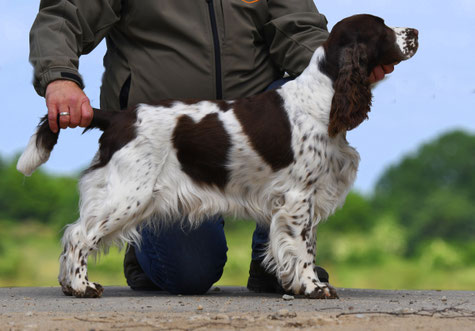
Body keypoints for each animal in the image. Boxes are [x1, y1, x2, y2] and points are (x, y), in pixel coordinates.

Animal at [15, 14, 416, 300]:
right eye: (381, 28)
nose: (414, 32)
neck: (324, 97)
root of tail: (117, 117)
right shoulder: (298, 196)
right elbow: (302, 247)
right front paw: (313, 288)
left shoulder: (303, 198)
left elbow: (303, 245)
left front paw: (296, 284)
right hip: (127, 193)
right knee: (78, 235)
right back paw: (81, 287)